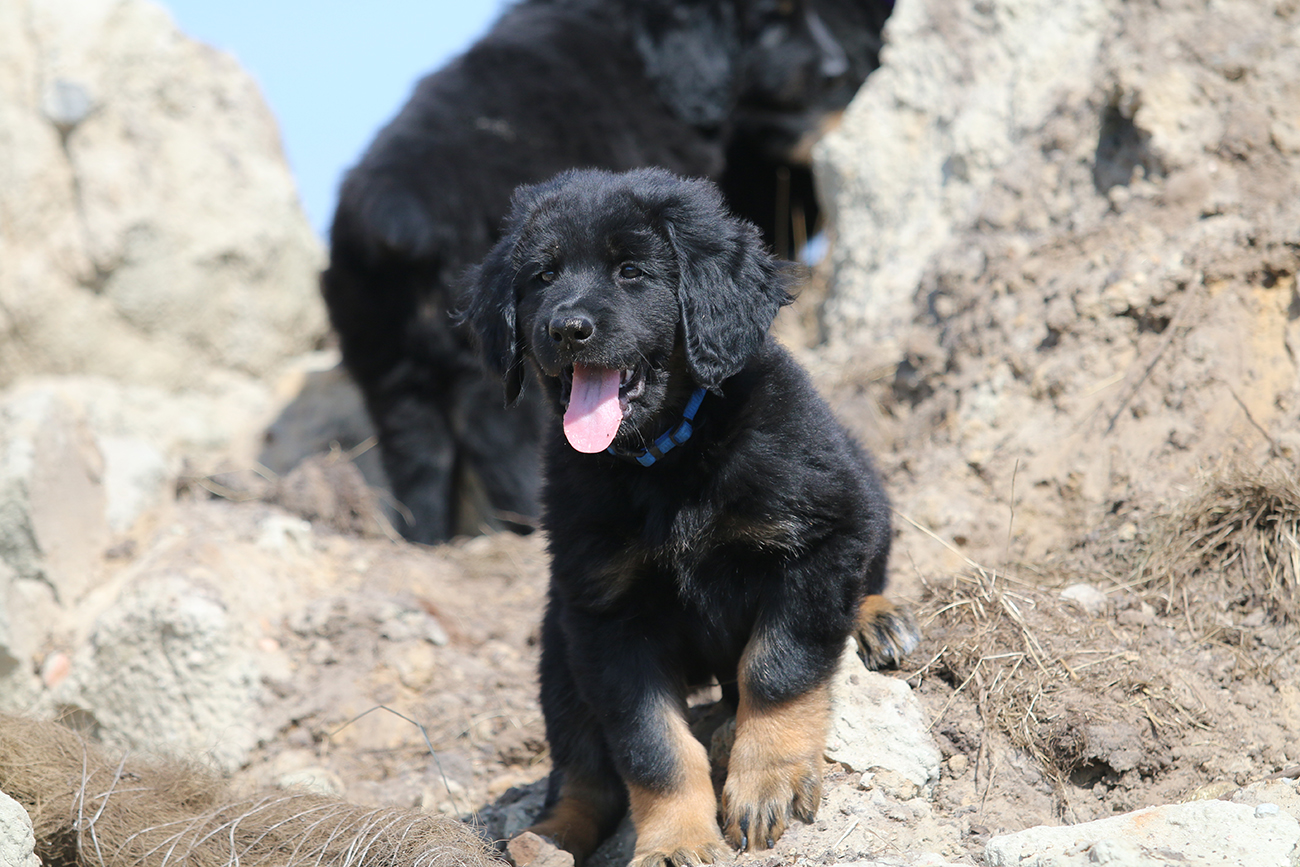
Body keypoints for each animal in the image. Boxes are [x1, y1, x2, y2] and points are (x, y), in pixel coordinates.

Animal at [322, 0, 892, 544]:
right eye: (773, 17)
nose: (838, 68)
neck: (636, 43)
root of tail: (393, 211)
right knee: (494, 435)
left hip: (383, 354)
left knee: (416, 450)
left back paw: (425, 539)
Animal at [463, 167, 918, 867]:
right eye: (541, 276)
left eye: (631, 271)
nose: (567, 328)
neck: (665, 458)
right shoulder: (604, 617)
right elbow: (650, 744)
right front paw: (676, 839)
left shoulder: (821, 537)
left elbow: (777, 670)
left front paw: (766, 783)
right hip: (559, 642)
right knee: (584, 770)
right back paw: (546, 839)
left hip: (868, 497)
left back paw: (876, 618)